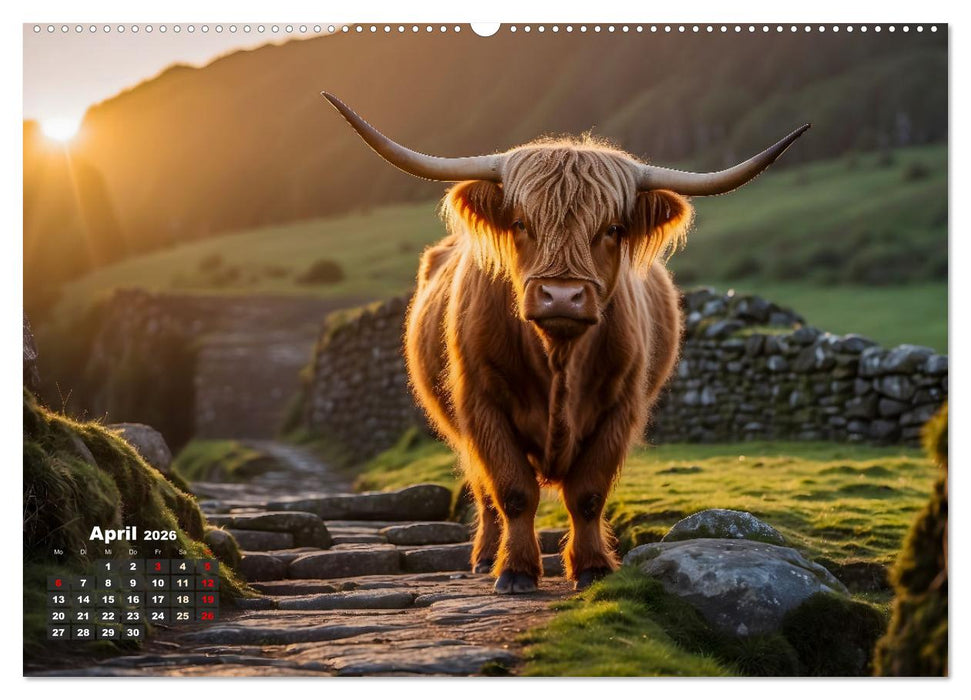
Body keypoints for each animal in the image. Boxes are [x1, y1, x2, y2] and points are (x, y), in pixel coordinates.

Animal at [322, 93, 808, 593]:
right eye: (521, 222)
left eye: (612, 228)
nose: (561, 296)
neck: (558, 357)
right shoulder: (482, 404)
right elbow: (513, 492)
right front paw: (515, 570)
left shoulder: (620, 406)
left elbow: (588, 494)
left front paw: (592, 565)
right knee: (484, 490)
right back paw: (485, 556)